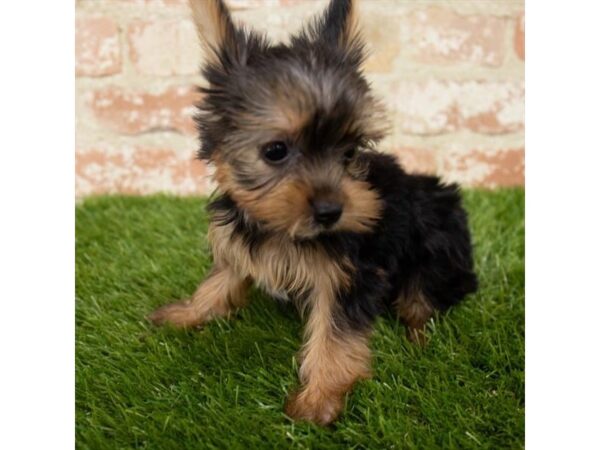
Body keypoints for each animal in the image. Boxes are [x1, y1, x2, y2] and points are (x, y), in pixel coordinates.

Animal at [150, 0, 478, 426]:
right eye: (275, 151)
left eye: (350, 153)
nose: (331, 211)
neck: (280, 230)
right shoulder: (239, 240)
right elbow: (220, 278)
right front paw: (189, 312)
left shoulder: (349, 275)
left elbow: (334, 334)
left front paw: (319, 398)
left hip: (437, 240)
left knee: (423, 298)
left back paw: (419, 338)